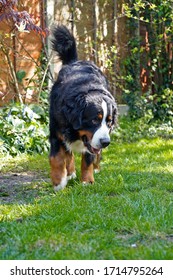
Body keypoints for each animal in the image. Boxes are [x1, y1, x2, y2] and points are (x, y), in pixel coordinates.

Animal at [48, 25, 117, 190]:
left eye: (109, 121)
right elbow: (57, 158)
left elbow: (88, 159)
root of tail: (76, 61)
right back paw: (70, 172)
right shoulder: (56, 132)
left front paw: (87, 181)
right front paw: (59, 181)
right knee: (68, 154)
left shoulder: (92, 141)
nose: (106, 142)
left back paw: (96, 168)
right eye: (94, 120)